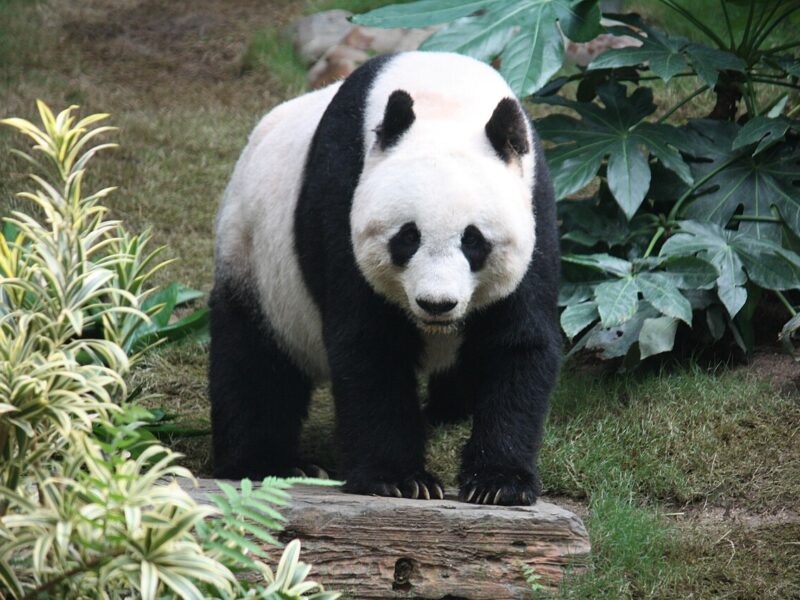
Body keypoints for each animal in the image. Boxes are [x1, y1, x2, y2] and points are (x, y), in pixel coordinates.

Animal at [210, 51, 561, 506]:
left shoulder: (535, 207)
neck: (444, 95)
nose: (436, 304)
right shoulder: (342, 195)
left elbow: (517, 343)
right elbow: (371, 345)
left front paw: (498, 483)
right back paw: (268, 463)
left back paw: (448, 411)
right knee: (254, 363)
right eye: (407, 237)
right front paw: (400, 479)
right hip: (254, 257)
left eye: (474, 241)